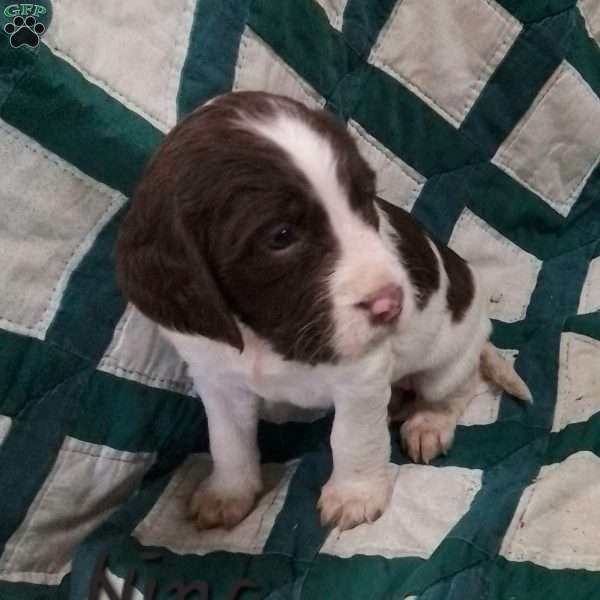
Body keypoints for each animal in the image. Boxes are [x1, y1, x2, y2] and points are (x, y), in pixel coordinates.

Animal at [116, 91, 528, 532]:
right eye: (281, 236)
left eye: (365, 200)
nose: (392, 303)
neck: (265, 335)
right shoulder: (216, 377)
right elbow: (227, 440)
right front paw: (228, 491)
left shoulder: (360, 376)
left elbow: (352, 437)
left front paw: (355, 493)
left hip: (449, 358)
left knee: (460, 387)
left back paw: (429, 420)